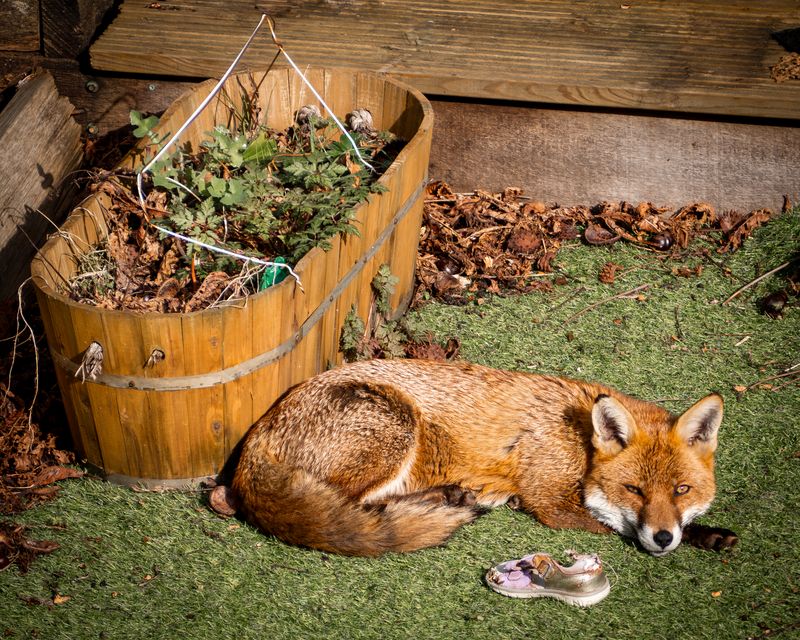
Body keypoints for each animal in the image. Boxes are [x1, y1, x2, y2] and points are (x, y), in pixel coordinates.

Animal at [230, 358, 738, 557]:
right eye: (633, 489)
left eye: (682, 490)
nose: (663, 538)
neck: (579, 441)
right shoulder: (549, 500)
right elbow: (616, 530)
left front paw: (706, 535)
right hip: (396, 428)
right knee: (352, 514)